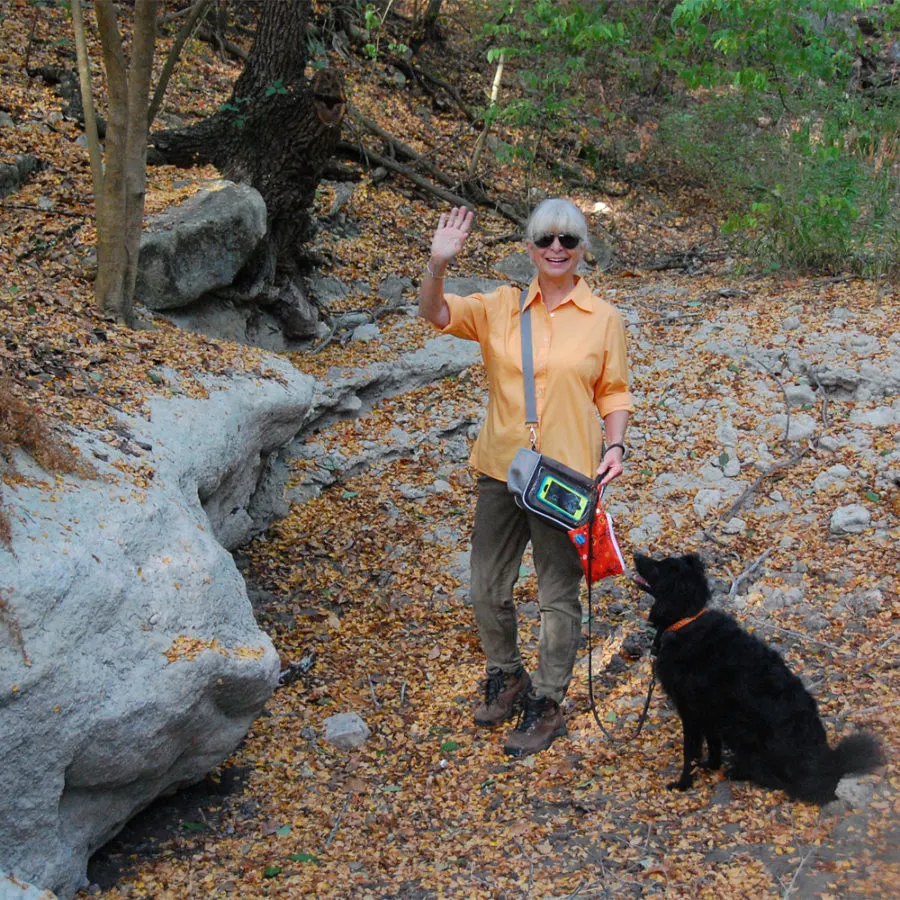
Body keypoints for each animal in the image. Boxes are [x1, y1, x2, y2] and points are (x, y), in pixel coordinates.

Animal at [632, 552, 884, 804]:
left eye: (658, 566)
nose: (636, 554)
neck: (684, 620)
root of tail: (825, 767)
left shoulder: (691, 712)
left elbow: (690, 753)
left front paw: (683, 784)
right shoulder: (709, 712)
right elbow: (712, 745)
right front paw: (711, 766)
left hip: (744, 733)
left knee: (779, 781)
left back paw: (738, 771)